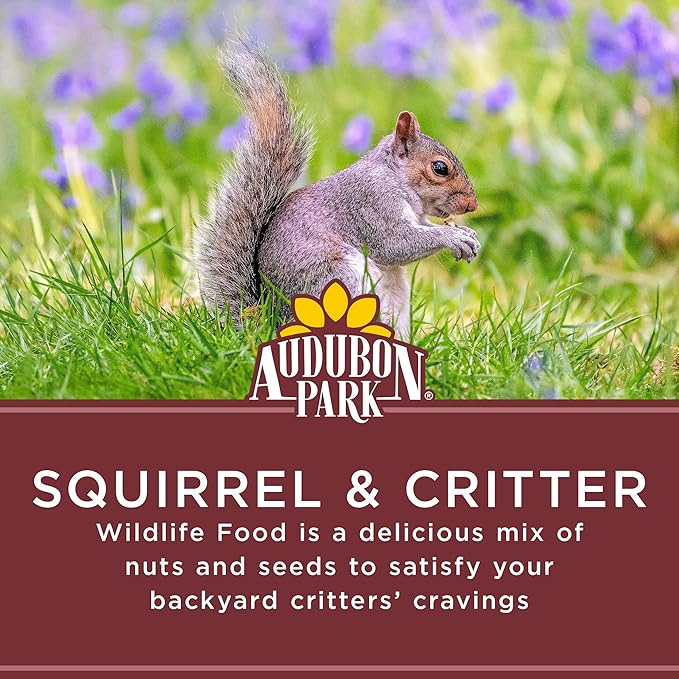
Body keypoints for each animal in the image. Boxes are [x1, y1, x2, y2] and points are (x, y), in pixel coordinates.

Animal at [195, 35, 480, 339]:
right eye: (440, 168)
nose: (472, 205)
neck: (393, 177)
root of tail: (271, 321)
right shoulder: (371, 205)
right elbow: (395, 243)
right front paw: (452, 237)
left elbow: (421, 229)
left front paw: (466, 233)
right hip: (340, 276)